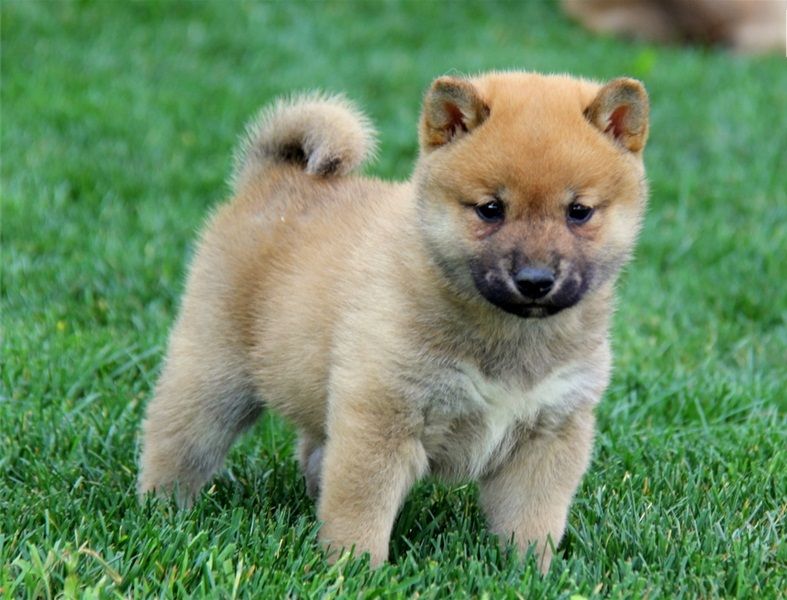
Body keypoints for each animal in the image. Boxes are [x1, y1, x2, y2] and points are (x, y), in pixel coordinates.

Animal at [138, 70, 650, 572]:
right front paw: (355, 570)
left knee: (314, 451)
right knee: (176, 441)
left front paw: (529, 574)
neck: (508, 336)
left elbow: (532, 520)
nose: (535, 280)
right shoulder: (383, 416)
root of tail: (273, 178)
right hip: (213, 377)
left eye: (578, 212)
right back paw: (162, 509)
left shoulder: (550, 429)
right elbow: (361, 507)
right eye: (491, 209)